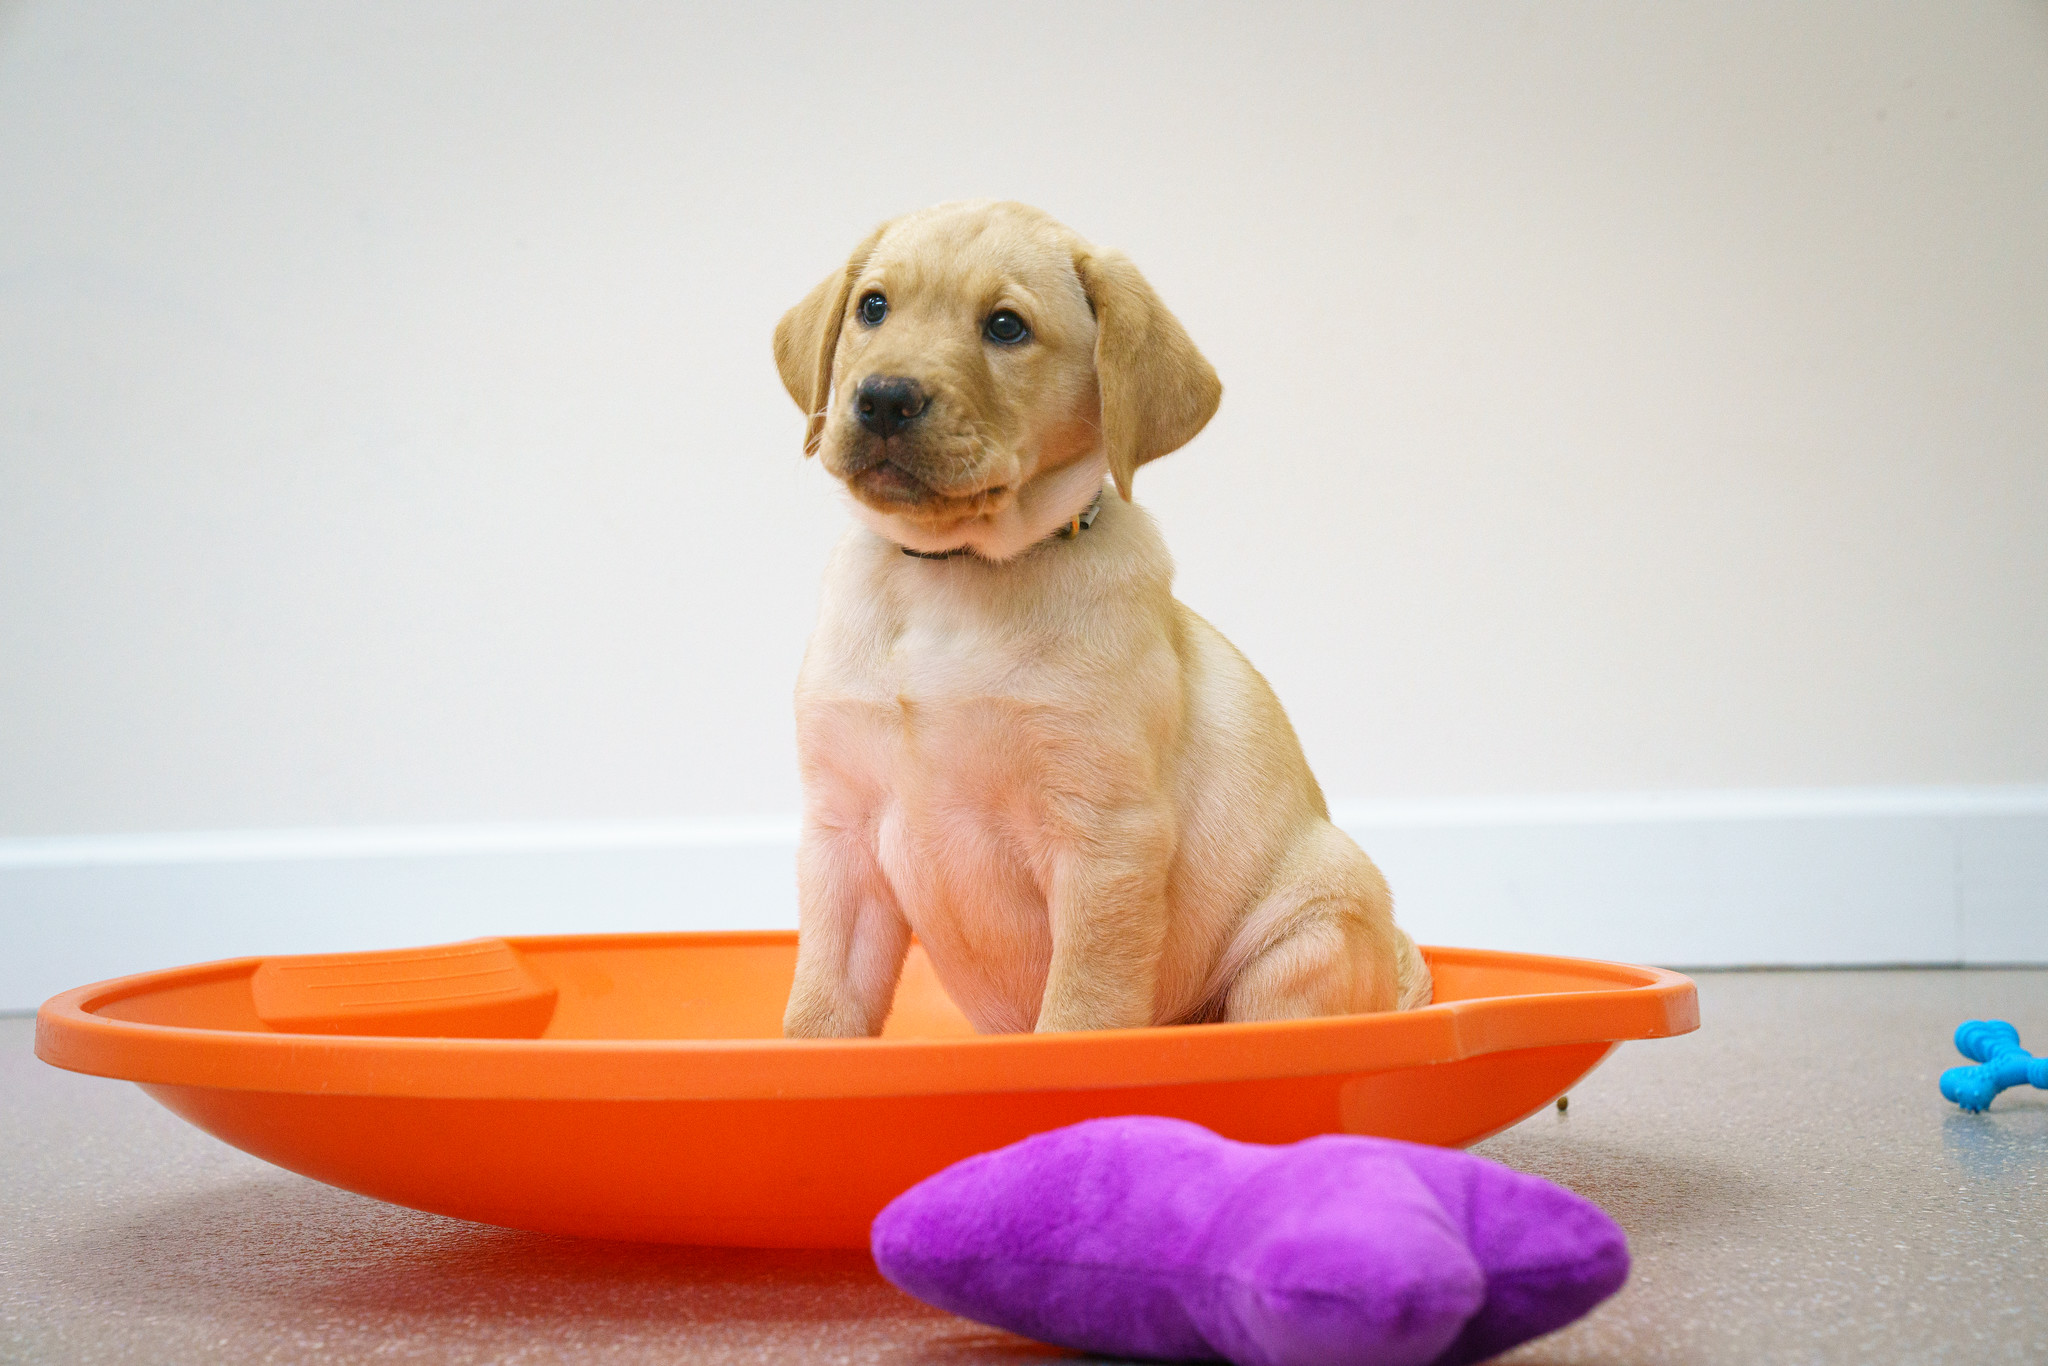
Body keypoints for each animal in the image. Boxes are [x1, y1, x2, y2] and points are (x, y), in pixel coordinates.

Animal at [774, 200, 1433, 1036]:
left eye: (1006, 327)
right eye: (873, 308)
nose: (885, 398)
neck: (954, 575)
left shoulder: (1105, 839)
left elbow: (1083, 1009)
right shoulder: (842, 838)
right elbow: (823, 1003)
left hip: (1307, 931)